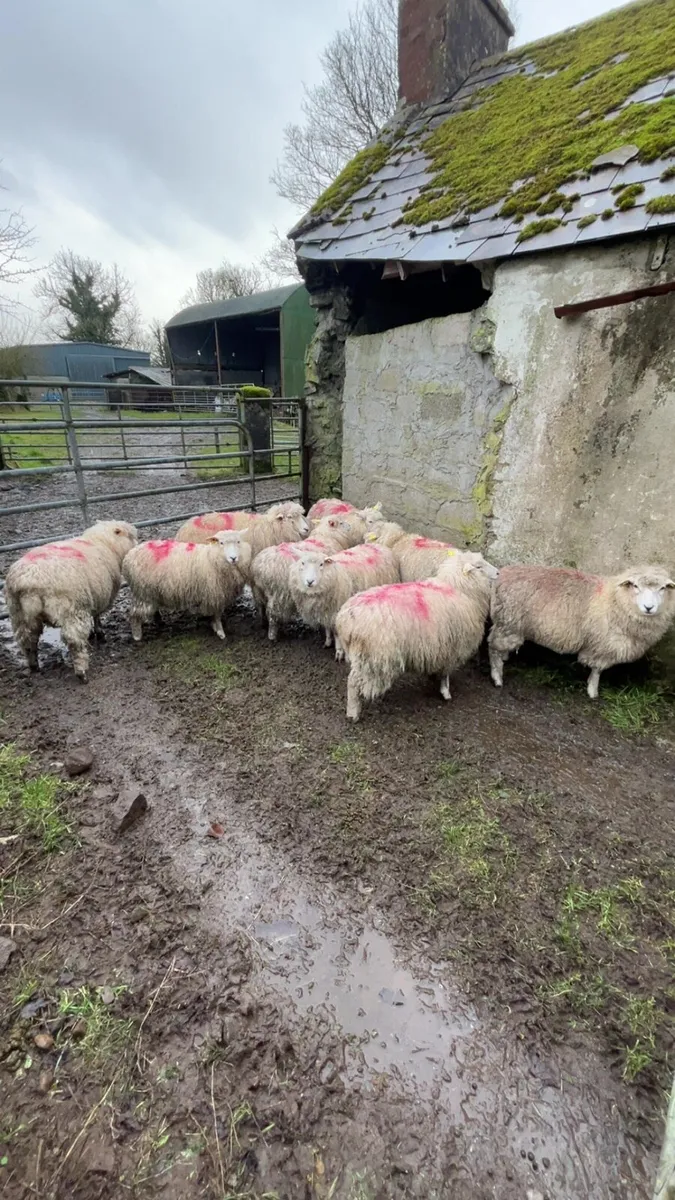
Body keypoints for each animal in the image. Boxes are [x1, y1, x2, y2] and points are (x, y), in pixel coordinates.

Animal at [5, 520, 138, 681]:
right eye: (130, 536)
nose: (137, 545)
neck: (104, 542)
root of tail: (29, 580)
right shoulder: (99, 597)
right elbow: (97, 616)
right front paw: (99, 633)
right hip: (72, 610)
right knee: (74, 641)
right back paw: (81, 672)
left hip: (19, 615)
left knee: (27, 641)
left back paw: (33, 665)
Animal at [122, 530, 252, 642]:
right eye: (221, 543)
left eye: (238, 542)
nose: (233, 558)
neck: (212, 558)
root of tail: (128, 556)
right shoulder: (214, 594)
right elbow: (216, 615)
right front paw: (220, 631)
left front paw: (215, 627)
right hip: (142, 592)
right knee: (134, 615)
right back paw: (137, 636)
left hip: (150, 592)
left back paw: (159, 622)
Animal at [335, 550, 498, 721]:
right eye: (479, 567)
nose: (498, 572)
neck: (460, 588)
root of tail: (345, 618)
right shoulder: (452, 646)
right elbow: (446, 673)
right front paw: (445, 692)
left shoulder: (441, 645)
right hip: (374, 657)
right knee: (353, 683)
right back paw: (353, 713)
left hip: (364, 656)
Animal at [488, 564, 675, 699]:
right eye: (635, 586)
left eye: (663, 588)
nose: (649, 607)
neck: (615, 600)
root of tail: (501, 574)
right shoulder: (601, 646)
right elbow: (597, 670)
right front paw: (593, 691)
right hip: (509, 623)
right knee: (493, 647)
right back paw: (497, 677)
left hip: (507, 625)